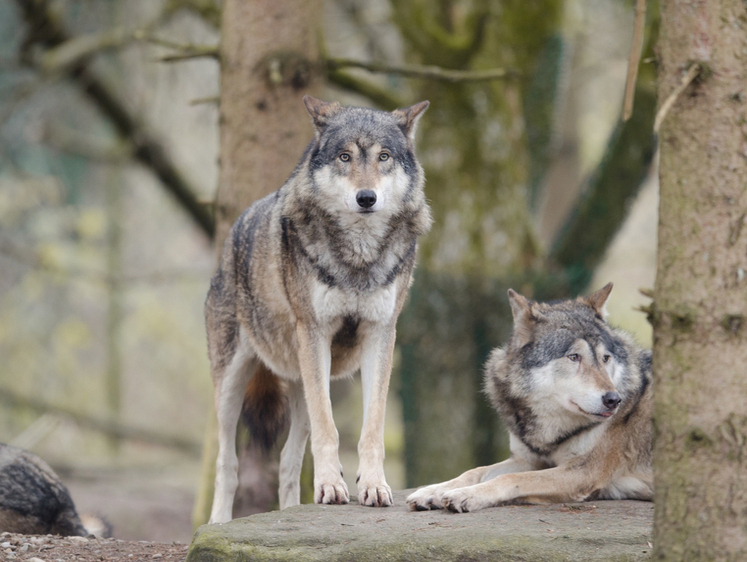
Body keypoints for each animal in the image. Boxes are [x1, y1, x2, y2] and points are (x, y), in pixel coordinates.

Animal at [206, 95, 432, 520]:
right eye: (345, 156)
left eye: (384, 156)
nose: (366, 197)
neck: (358, 258)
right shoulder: (315, 332)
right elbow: (330, 430)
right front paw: (330, 486)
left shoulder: (381, 334)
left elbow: (372, 428)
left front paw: (373, 486)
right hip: (232, 387)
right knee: (228, 465)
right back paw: (218, 524)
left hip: (304, 383)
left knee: (288, 464)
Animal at [406, 284, 652, 512]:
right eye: (574, 357)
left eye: (605, 358)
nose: (614, 399)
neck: (549, 433)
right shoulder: (525, 460)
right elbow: (474, 471)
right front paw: (432, 491)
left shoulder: (582, 472)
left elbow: (512, 479)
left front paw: (466, 495)